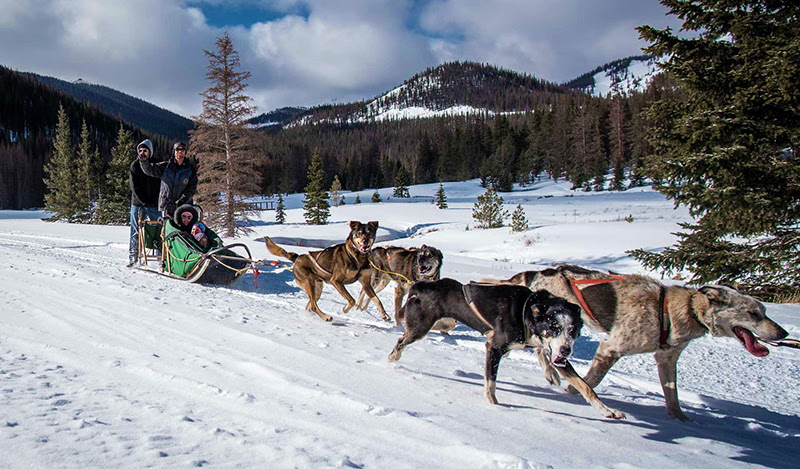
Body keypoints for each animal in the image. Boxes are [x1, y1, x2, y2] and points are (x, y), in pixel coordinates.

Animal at [388, 278, 624, 416]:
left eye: (573, 330)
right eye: (554, 327)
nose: (567, 350)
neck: (526, 310)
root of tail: (421, 285)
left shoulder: (557, 356)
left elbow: (586, 387)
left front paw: (608, 411)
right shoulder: (494, 347)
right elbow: (491, 381)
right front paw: (493, 404)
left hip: (443, 323)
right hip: (421, 328)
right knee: (401, 342)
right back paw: (393, 358)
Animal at [484, 264, 792, 420]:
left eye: (764, 310)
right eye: (753, 313)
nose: (783, 334)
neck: (676, 309)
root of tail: (535, 274)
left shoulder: (666, 359)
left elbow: (672, 395)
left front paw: (682, 421)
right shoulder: (611, 348)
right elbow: (591, 381)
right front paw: (573, 393)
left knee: (542, 349)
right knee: (543, 350)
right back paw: (550, 372)